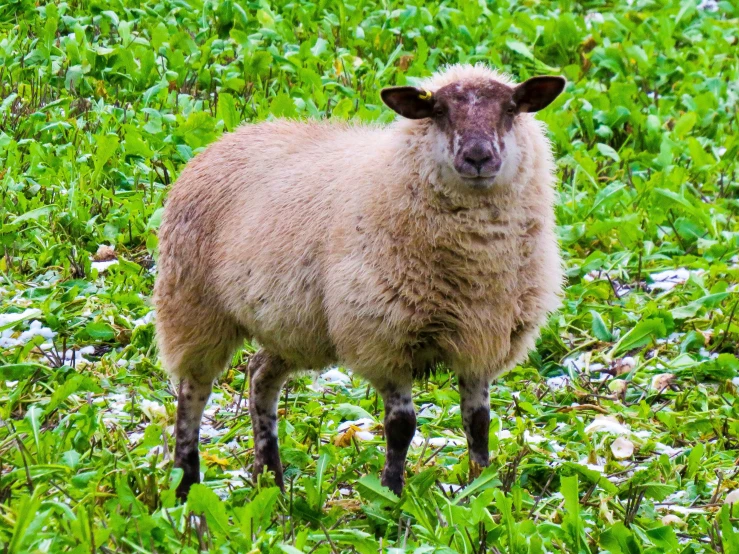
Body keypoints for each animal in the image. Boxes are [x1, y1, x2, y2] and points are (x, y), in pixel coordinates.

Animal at [153, 62, 564, 498]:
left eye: (511, 109)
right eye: (437, 111)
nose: (479, 157)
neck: (475, 262)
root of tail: (228, 136)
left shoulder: (482, 341)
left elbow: (479, 422)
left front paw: (480, 489)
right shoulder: (383, 337)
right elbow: (401, 426)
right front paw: (390, 494)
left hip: (295, 328)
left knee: (260, 375)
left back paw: (271, 481)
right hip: (193, 306)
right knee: (193, 391)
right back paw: (185, 482)